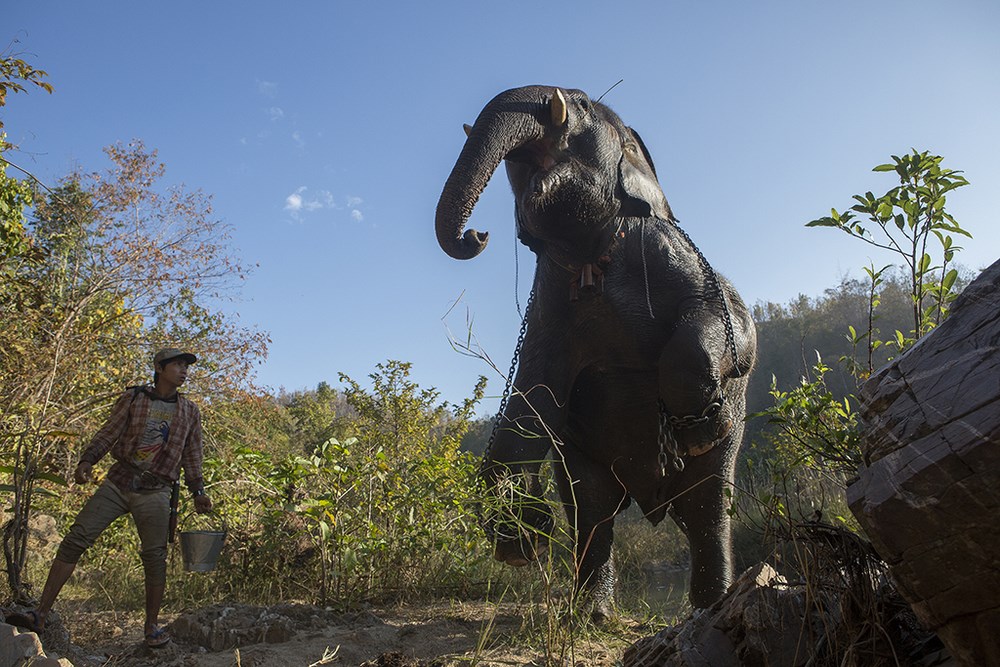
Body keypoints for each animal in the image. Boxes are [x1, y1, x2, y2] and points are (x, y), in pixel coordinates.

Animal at [434, 85, 752, 620]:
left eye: (580, 103)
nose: (477, 235)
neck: (593, 250)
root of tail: (651, 504)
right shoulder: (549, 302)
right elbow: (533, 390)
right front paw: (521, 538)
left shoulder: (680, 257)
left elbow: (736, 325)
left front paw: (699, 427)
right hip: (580, 455)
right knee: (592, 508)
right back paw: (592, 614)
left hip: (733, 440)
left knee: (707, 506)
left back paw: (710, 605)